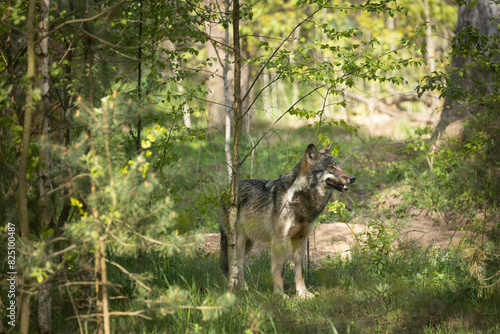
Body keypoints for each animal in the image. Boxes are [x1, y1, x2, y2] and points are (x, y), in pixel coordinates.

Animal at [219, 142, 356, 298]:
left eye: (338, 166)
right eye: (331, 167)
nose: (352, 178)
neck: (301, 198)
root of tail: (226, 189)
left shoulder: (301, 240)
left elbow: (300, 271)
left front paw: (303, 294)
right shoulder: (279, 241)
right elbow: (279, 271)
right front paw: (280, 295)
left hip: (249, 242)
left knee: (238, 266)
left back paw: (243, 288)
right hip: (238, 241)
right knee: (235, 264)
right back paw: (235, 288)